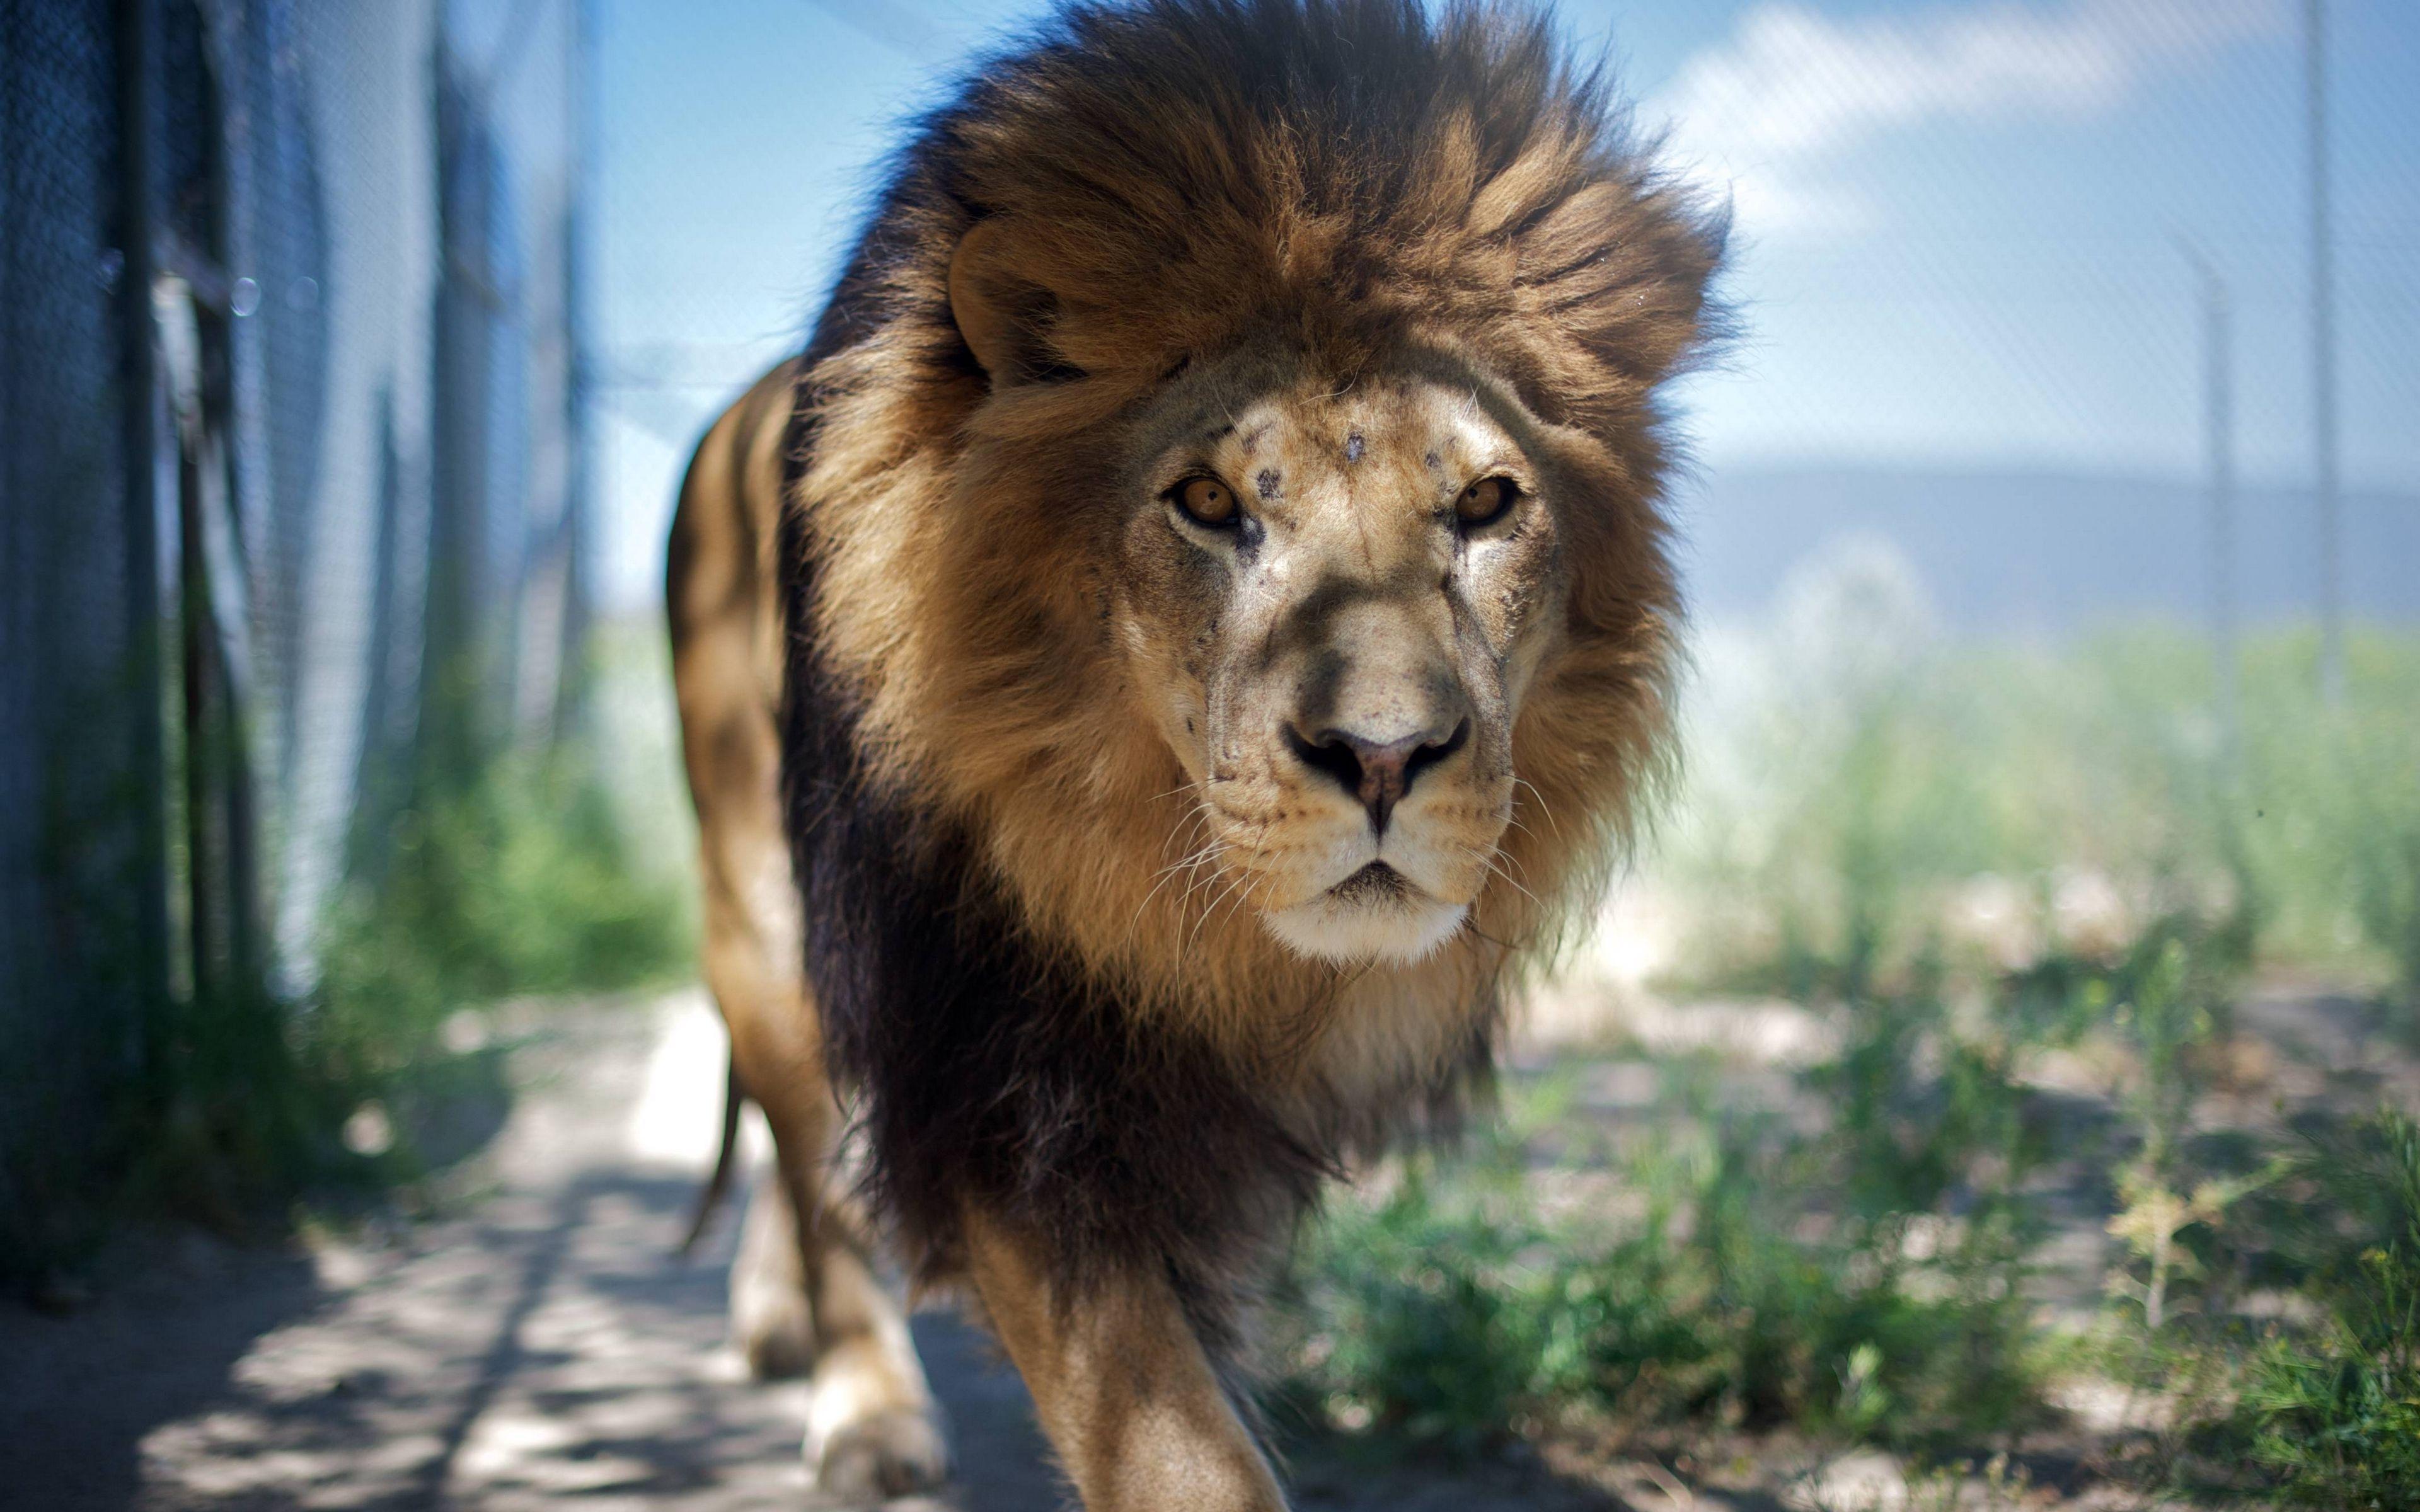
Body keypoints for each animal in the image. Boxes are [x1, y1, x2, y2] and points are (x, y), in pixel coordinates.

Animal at [666, 0, 1723, 1504]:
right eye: (1210, 504)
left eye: (1486, 503)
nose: (1387, 758)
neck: (1187, 923)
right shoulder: (998, 1071)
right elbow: (1177, 1445)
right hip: (754, 896)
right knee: (810, 1141)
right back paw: (861, 1407)